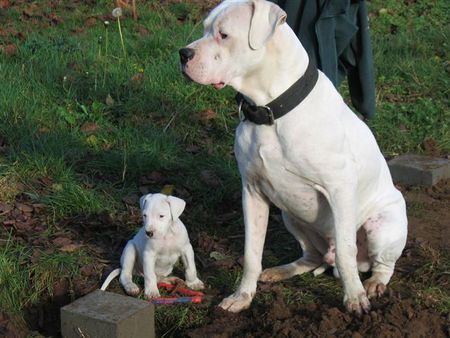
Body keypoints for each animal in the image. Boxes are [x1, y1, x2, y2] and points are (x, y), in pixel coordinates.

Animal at [179, 0, 408, 316]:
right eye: (204, 29)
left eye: (223, 35)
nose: (183, 53)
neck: (270, 110)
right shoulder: (252, 194)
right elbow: (252, 252)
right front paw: (242, 296)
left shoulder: (339, 189)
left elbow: (347, 252)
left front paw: (354, 298)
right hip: (292, 215)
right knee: (311, 256)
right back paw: (282, 271)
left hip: (383, 225)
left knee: (380, 263)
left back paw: (373, 284)